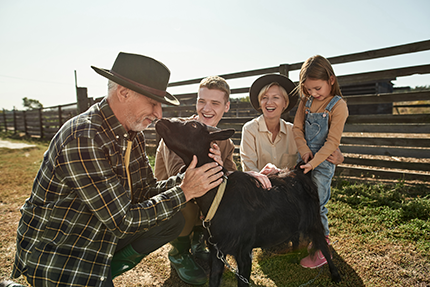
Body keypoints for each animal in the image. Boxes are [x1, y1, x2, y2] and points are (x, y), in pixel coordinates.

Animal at [156, 118, 340, 286]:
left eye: (194, 125)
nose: (161, 121)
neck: (219, 196)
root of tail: (300, 171)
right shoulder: (217, 251)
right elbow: (214, 280)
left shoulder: (244, 252)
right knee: (295, 235)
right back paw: (293, 257)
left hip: (314, 219)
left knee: (323, 244)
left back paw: (335, 275)